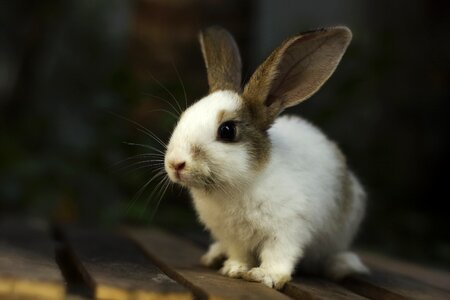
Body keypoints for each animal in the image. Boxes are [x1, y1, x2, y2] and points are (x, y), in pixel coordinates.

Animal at [163, 27, 368, 290]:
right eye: (184, 116)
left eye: (227, 130)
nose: (175, 164)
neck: (237, 185)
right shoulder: (234, 237)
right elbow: (239, 253)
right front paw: (234, 269)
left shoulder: (287, 229)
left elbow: (278, 255)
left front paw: (265, 276)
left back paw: (343, 265)